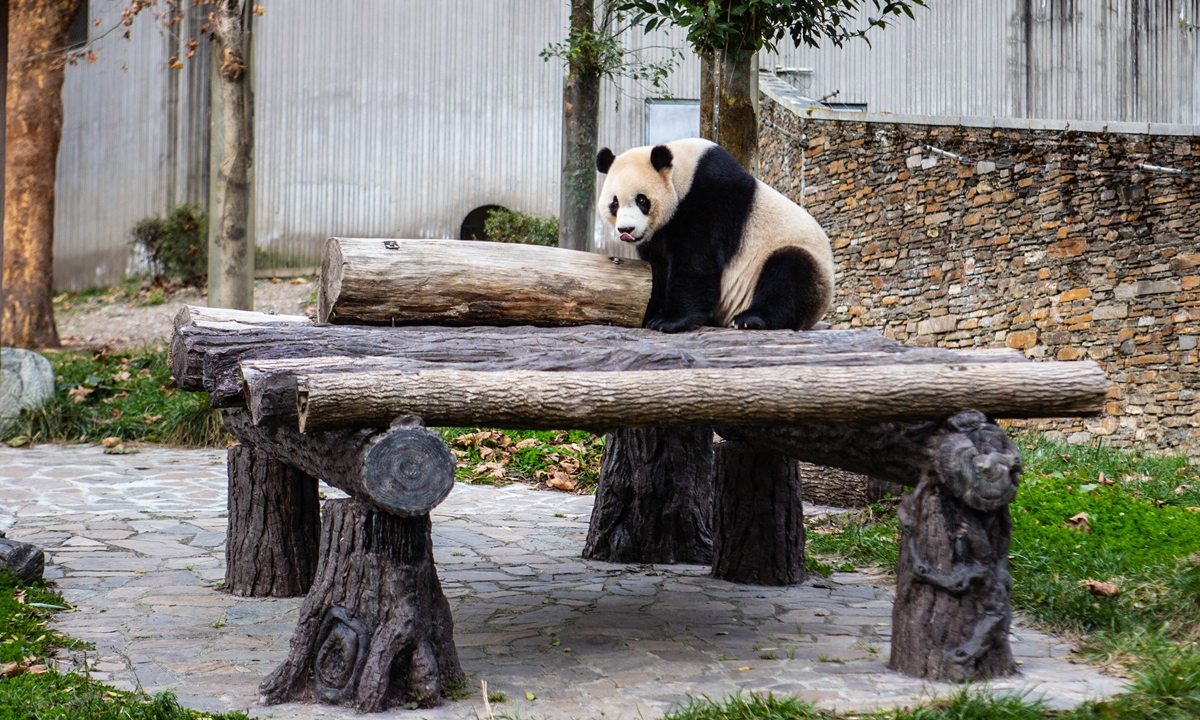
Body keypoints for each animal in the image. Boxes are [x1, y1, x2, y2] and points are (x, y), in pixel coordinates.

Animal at [596, 138, 834, 333]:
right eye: (614, 203)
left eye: (641, 200)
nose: (626, 230)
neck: (682, 175)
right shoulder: (657, 236)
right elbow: (657, 270)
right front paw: (649, 310)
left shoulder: (708, 202)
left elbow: (694, 265)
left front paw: (669, 321)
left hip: (798, 260)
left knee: (790, 273)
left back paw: (751, 319)